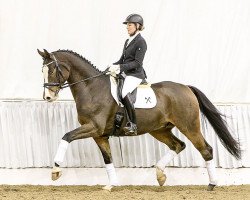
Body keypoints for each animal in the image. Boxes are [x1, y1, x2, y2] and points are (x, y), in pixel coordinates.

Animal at [37, 48, 240, 191]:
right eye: (42, 71)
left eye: (53, 69)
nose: (48, 97)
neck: (91, 88)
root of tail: (186, 88)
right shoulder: (99, 135)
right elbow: (107, 158)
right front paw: (111, 185)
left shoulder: (94, 127)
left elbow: (66, 136)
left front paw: (55, 170)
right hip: (159, 129)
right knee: (178, 145)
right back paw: (160, 175)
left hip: (189, 126)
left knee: (205, 149)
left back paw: (212, 184)